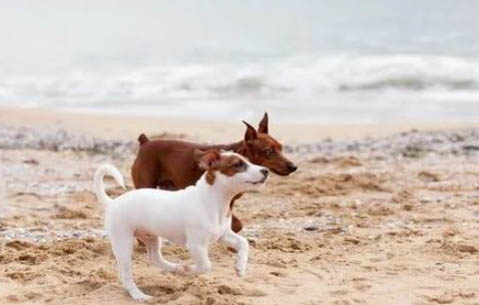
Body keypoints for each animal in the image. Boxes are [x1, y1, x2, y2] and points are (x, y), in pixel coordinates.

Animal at [92, 150, 268, 300]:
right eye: (238, 164)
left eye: (249, 161)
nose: (266, 170)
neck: (214, 200)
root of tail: (112, 202)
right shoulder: (196, 245)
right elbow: (206, 266)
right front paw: (188, 271)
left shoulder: (223, 235)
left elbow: (244, 243)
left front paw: (240, 266)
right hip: (124, 242)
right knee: (127, 275)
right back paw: (139, 295)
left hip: (151, 237)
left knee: (154, 259)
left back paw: (175, 268)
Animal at [131, 113, 296, 232]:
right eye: (269, 151)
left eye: (281, 148)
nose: (294, 166)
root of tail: (145, 143)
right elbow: (235, 224)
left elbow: (236, 225)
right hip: (145, 184)